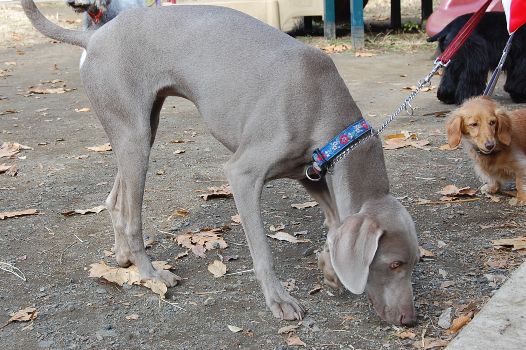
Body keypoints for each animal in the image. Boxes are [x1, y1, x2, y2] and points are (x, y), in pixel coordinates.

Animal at [21, 0, 420, 326]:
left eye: (413, 263)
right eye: (393, 264)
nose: (409, 320)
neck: (326, 109)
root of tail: (93, 39)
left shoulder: (311, 173)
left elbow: (335, 221)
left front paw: (330, 268)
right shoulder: (243, 173)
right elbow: (262, 250)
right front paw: (279, 300)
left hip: (140, 128)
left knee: (115, 199)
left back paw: (123, 259)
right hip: (134, 135)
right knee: (133, 218)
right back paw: (151, 273)